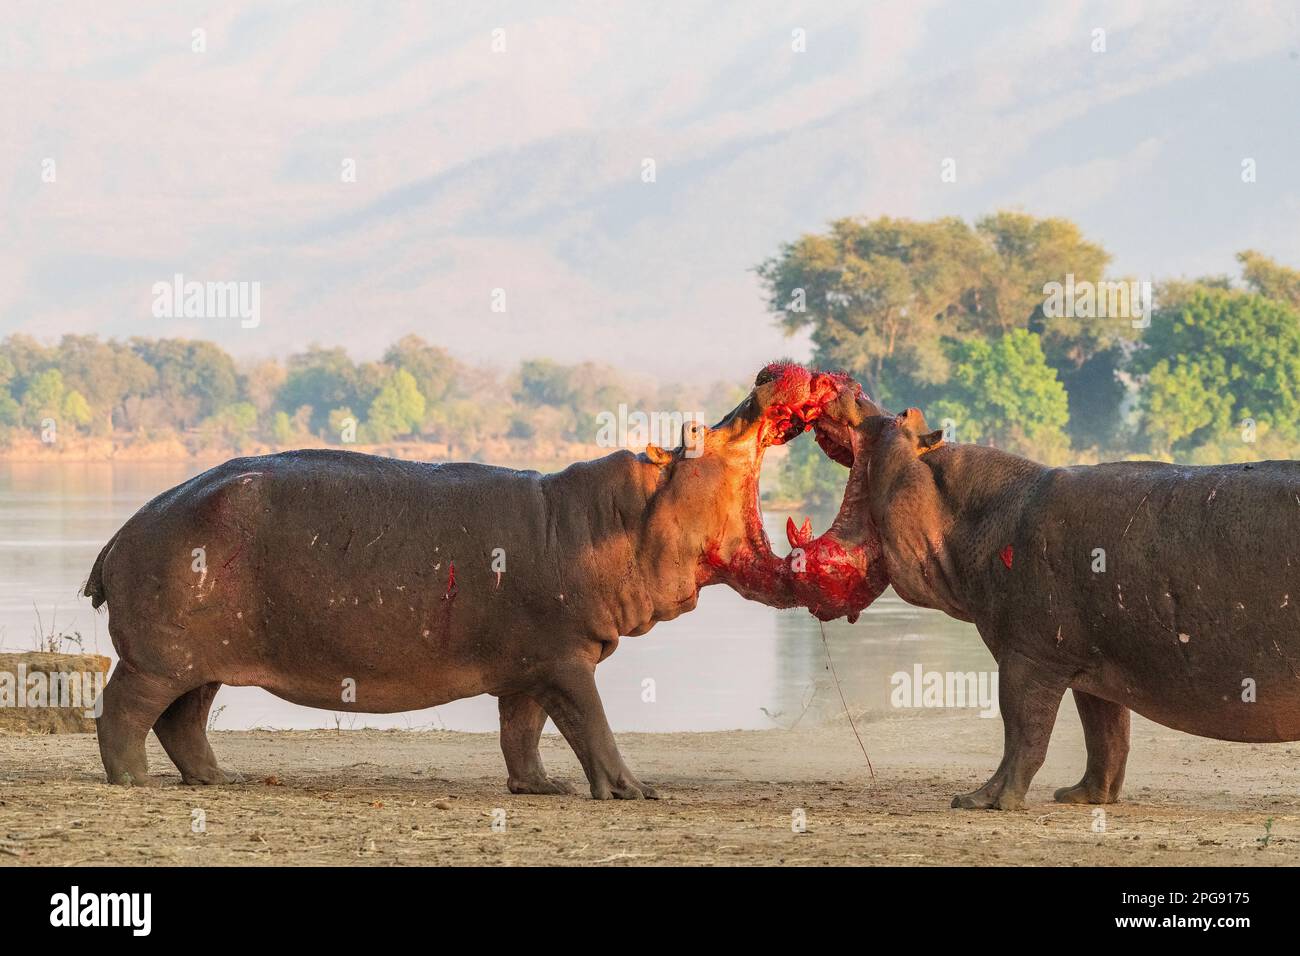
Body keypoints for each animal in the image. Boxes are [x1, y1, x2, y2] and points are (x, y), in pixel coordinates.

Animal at [86, 361, 863, 796]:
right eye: (699, 433)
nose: (767, 376)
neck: (621, 516)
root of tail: (122, 530)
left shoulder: (527, 666)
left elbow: (523, 732)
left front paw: (541, 789)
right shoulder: (565, 659)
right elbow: (592, 725)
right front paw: (635, 791)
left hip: (202, 659)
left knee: (183, 721)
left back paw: (219, 779)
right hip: (158, 658)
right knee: (123, 711)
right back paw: (133, 781)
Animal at [785, 385, 1300, 811]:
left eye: (899, 416)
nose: (847, 388)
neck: (972, 508)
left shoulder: (1026, 656)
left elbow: (1023, 731)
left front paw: (981, 801)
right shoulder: (1095, 664)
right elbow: (1106, 735)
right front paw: (1081, 797)